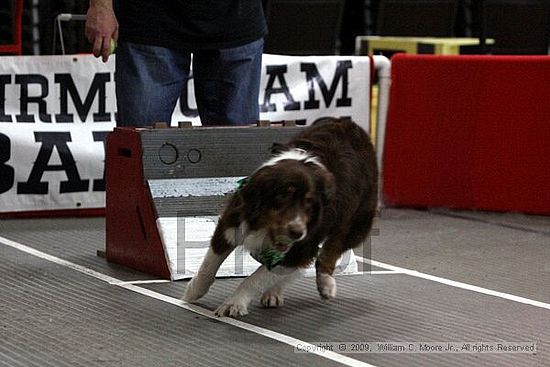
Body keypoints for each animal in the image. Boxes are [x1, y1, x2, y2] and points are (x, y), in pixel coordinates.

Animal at [184, 119, 380, 318]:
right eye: (282, 197)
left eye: (309, 203)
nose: (297, 233)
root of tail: (348, 122)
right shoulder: (233, 223)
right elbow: (210, 263)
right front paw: (194, 289)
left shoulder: (301, 247)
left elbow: (256, 278)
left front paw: (234, 303)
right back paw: (274, 292)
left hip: (357, 221)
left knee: (332, 248)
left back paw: (325, 284)